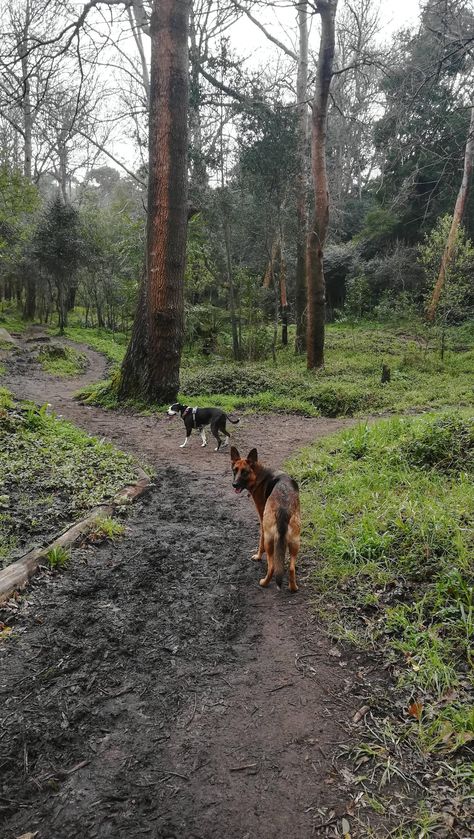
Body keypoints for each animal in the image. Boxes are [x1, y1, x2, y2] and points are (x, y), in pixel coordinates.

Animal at [230, 446, 300, 592]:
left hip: (269, 539)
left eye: (244, 472)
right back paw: (293, 587)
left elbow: (260, 542)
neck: (259, 475)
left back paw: (264, 583)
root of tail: (283, 506)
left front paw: (257, 556)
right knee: (291, 568)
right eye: (235, 470)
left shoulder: (262, 521)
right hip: (295, 541)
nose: (234, 484)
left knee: (272, 567)